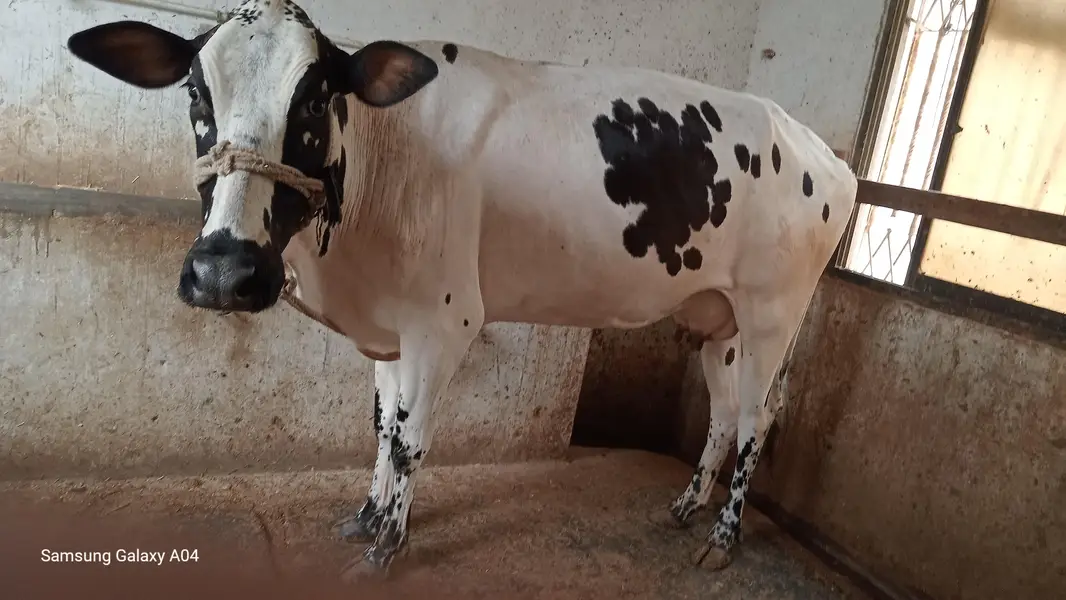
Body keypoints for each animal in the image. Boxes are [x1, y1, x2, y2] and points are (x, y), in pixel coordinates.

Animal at [65, 0, 858, 582]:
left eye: (317, 98)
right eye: (195, 92)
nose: (224, 273)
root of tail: (826, 153)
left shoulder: (443, 324)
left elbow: (411, 442)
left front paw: (387, 547)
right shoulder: (391, 330)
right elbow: (382, 429)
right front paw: (367, 516)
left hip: (771, 314)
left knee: (756, 418)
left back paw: (723, 536)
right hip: (718, 318)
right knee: (723, 415)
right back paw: (687, 507)